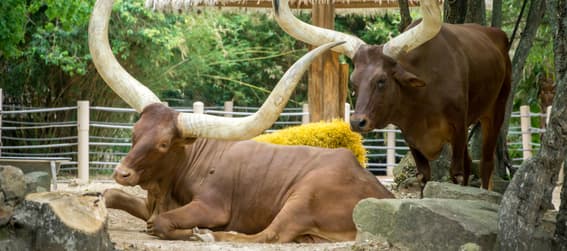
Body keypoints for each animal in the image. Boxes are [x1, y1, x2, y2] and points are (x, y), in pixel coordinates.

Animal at [87, 0, 394, 243]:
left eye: (163, 144)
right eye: (134, 133)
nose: (122, 173)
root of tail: (383, 194)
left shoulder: (212, 207)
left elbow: (158, 222)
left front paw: (194, 231)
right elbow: (109, 194)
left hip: (302, 198)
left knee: (270, 235)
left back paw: (209, 235)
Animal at [272, 0, 512, 190]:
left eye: (381, 80)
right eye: (353, 82)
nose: (358, 122)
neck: (425, 95)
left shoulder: (459, 127)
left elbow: (457, 173)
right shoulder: (411, 137)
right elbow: (424, 176)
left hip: (496, 109)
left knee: (486, 163)